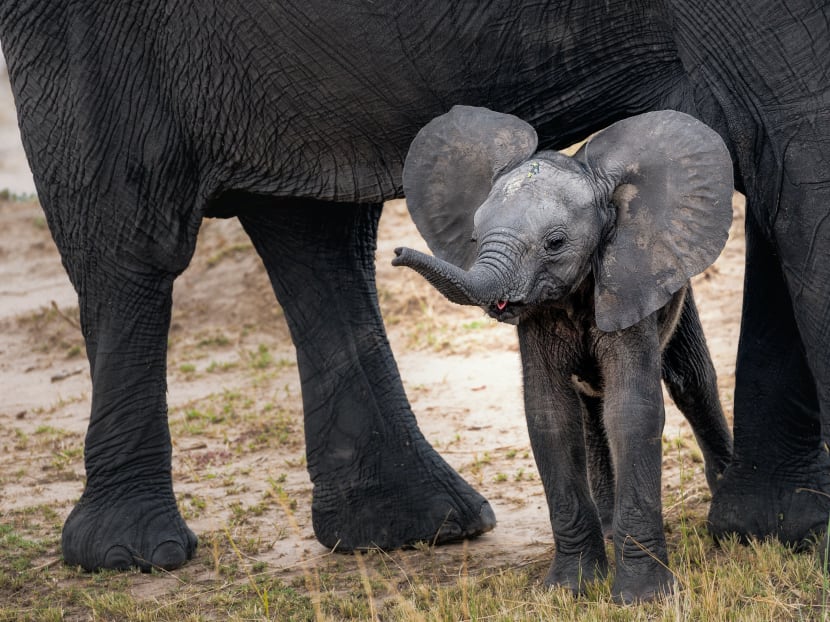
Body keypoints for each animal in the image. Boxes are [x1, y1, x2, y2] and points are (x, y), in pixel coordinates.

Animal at [393, 106, 735, 601]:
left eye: (555, 243)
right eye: (474, 238)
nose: (396, 252)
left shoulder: (628, 282)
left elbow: (633, 411)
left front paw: (643, 597)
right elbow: (549, 415)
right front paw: (568, 591)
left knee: (690, 380)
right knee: (591, 406)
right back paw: (608, 529)